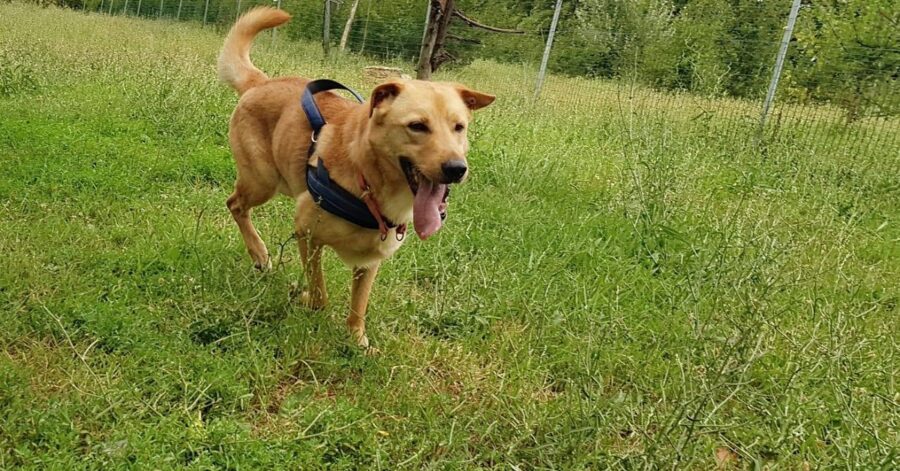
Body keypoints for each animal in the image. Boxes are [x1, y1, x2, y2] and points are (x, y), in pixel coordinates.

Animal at [219, 7, 496, 350]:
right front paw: (306, 298)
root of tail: (262, 81)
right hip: (262, 181)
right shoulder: (307, 232)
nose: (457, 169)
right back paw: (259, 253)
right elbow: (320, 294)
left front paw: (357, 340)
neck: (371, 183)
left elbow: (359, 306)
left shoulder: (370, 261)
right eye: (417, 126)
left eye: (459, 127)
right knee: (235, 204)